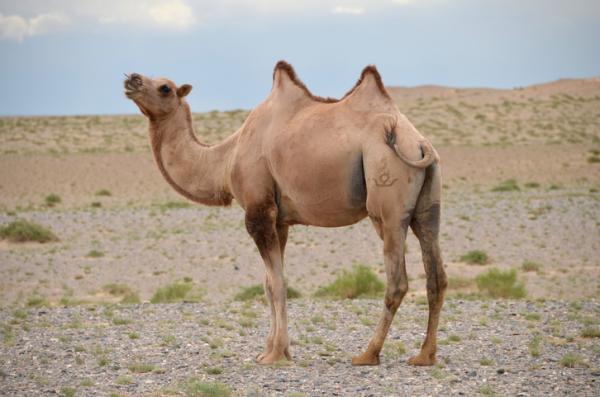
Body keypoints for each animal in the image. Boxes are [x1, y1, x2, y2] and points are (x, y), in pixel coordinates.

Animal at [124, 61, 448, 366]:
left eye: (165, 87)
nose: (131, 79)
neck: (225, 158)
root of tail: (419, 142)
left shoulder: (258, 211)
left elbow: (278, 282)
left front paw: (276, 354)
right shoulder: (280, 221)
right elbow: (269, 284)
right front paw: (272, 350)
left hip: (388, 200)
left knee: (397, 280)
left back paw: (368, 354)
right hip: (428, 206)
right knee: (436, 274)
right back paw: (425, 356)